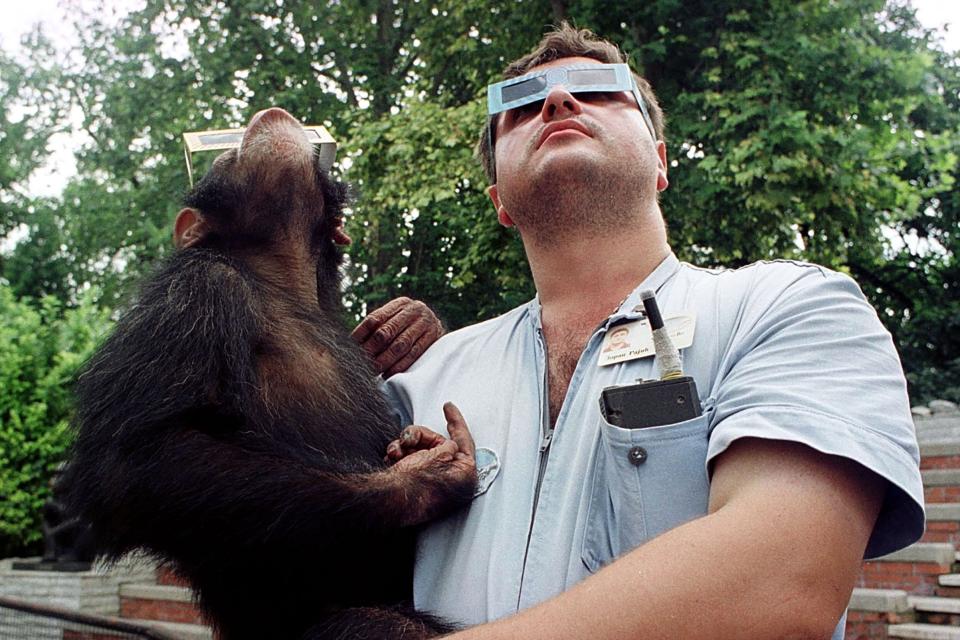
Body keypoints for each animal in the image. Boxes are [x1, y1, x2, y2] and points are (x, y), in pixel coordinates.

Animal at [60, 107, 476, 636]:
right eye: (223, 154)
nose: (262, 115)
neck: (278, 280)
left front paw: (410, 326)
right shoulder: (193, 293)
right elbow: (139, 459)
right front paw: (424, 476)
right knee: (376, 625)